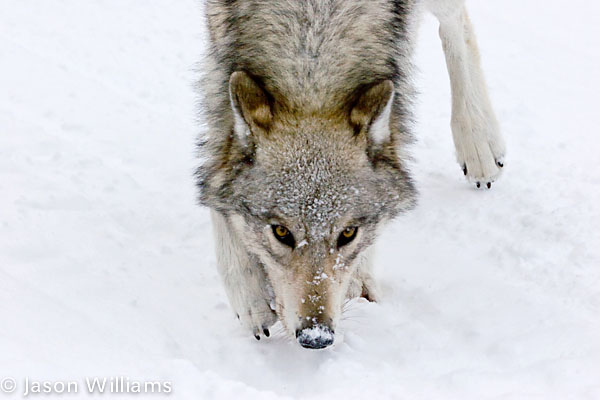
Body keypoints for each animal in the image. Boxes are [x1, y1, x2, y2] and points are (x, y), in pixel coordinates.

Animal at [196, 0, 502, 348]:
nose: (316, 336)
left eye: (348, 233)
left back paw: (479, 142)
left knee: (455, 19)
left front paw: (358, 278)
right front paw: (251, 299)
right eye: (281, 232)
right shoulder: (220, 38)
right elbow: (217, 168)